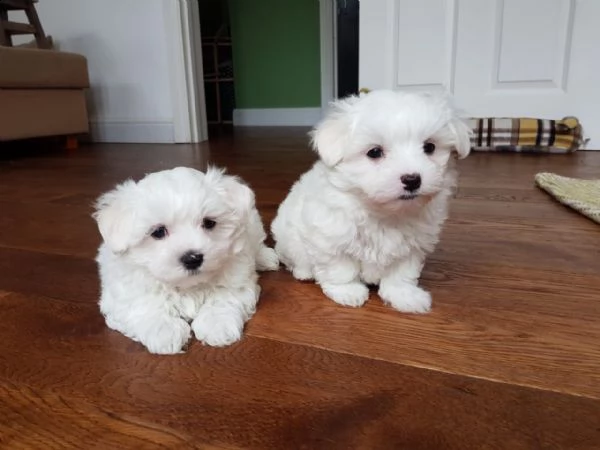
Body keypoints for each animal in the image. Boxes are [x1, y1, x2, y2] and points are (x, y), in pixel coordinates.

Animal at [93, 167, 278, 354]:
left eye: (209, 223)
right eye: (158, 232)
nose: (192, 258)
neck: (187, 286)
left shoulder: (238, 279)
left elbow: (225, 296)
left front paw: (217, 324)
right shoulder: (121, 295)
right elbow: (142, 306)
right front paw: (165, 331)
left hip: (252, 223)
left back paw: (266, 258)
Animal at [274, 88, 474, 312]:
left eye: (429, 147)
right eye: (375, 152)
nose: (412, 179)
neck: (383, 212)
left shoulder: (413, 245)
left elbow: (402, 272)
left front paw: (404, 294)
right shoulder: (330, 235)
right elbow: (339, 267)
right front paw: (347, 291)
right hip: (288, 239)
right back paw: (303, 271)